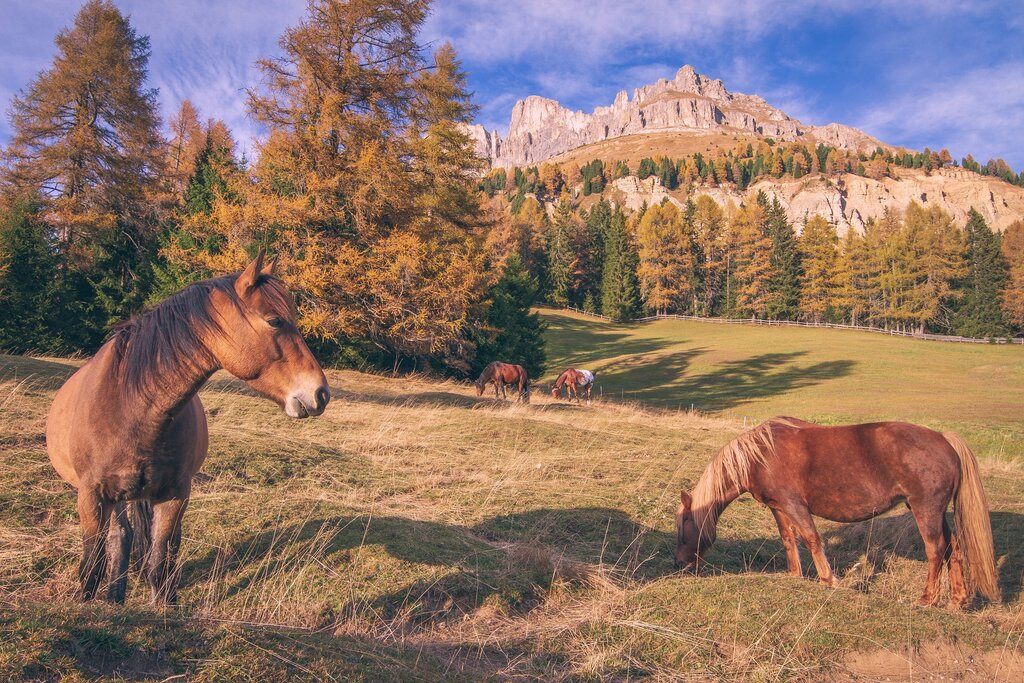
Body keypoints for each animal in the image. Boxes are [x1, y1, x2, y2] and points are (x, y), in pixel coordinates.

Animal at [45, 251, 330, 605]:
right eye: (275, 321)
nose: (321, 393)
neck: (129, 407)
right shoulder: (91, 497)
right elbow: (92, 566)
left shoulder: (174, 496)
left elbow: (158, 563)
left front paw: (164, 604)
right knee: (121, 537)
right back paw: (115, 596)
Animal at [675, 417, 999, 609]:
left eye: (683, 527)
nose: (680, 564)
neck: (760, 454)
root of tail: (945, 440)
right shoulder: (779, 508)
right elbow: (788, 540)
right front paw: (794, 575)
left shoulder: (795, 505)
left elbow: (811, 539)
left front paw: (828, 580)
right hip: (934, 511)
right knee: (953, 547)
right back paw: (958, 599)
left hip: (925, 509)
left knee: (936, 549)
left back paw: (927, 599)